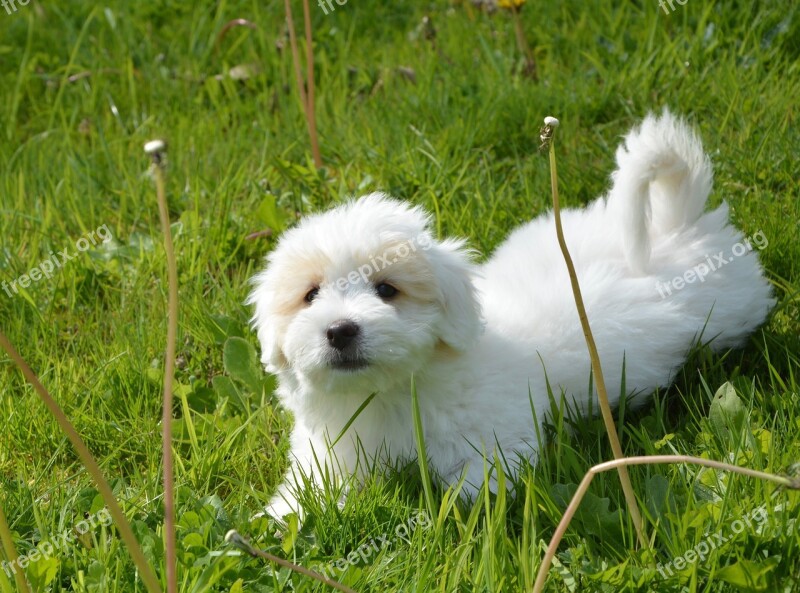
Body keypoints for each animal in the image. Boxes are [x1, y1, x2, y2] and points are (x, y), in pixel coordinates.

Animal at [250, 112, 776, 520]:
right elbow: (313, 487)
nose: (340, 330)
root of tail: (676, 225)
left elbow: (474, 485)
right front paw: (280, 517)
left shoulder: (497, 440)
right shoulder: (329, 451)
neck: (390, 393)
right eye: (310, 295)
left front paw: (444, 513)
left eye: (386, 289)